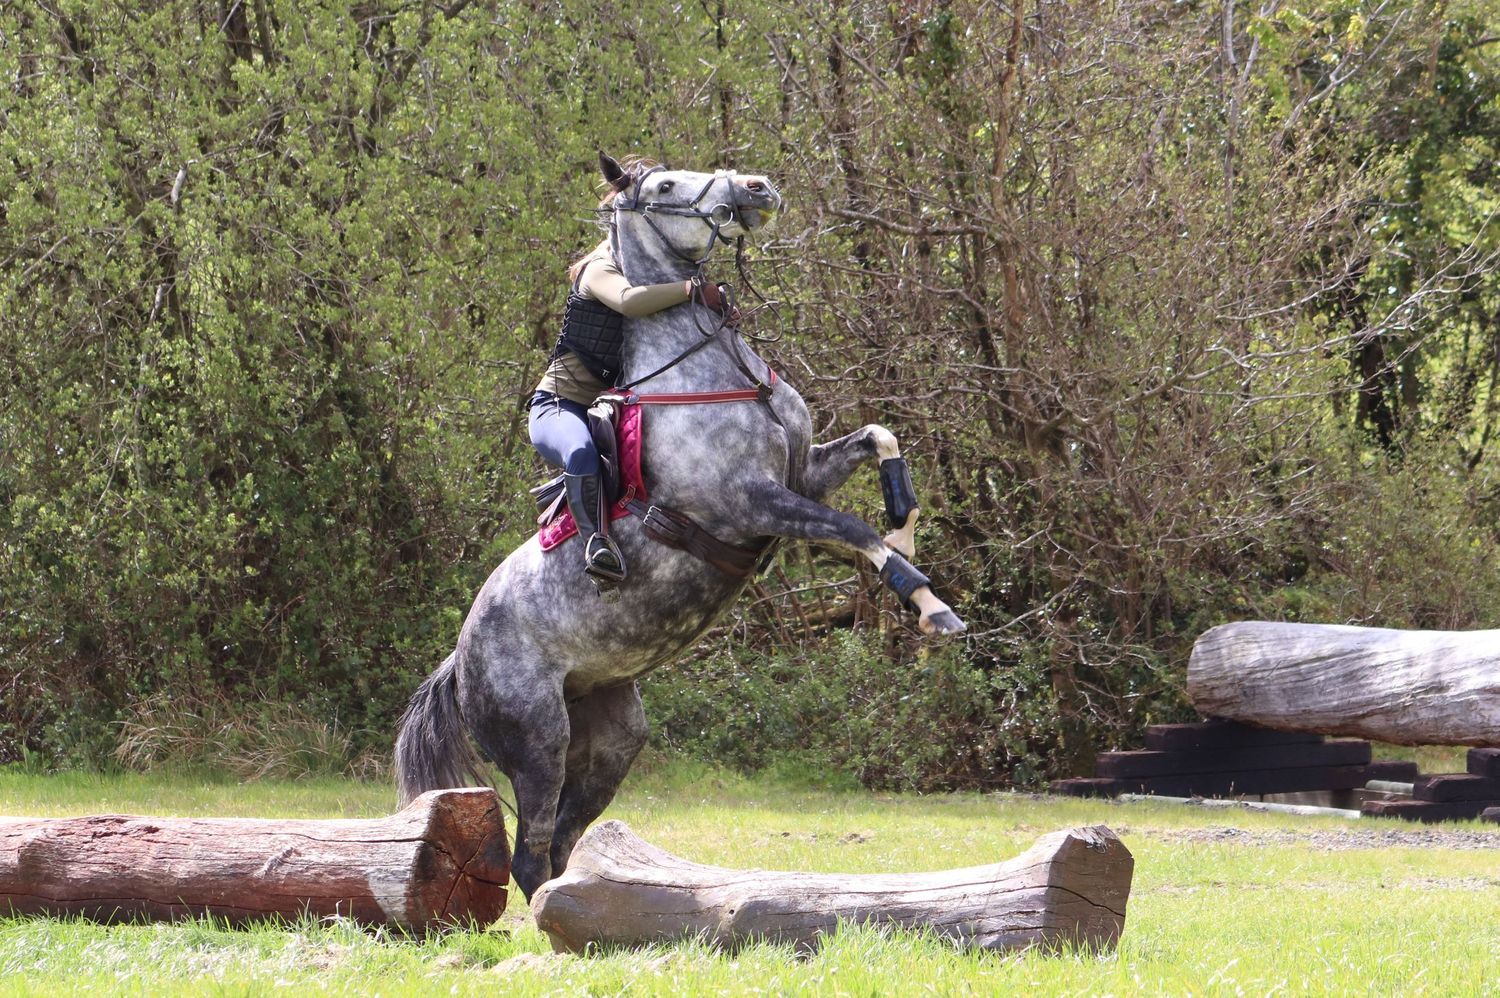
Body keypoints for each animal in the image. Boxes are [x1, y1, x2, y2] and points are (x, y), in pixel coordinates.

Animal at [395, 153, 966, 900]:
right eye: (665, 185)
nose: (756, 187)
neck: (716, 370)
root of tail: (459, 663)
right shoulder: (752, 500)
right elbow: (851, 529)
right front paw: (929, 605)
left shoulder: (802, 473)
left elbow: (879, 440)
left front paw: (904, 523)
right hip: (539, 734)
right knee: (532, 851)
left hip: (611, 733)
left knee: (566, 837)